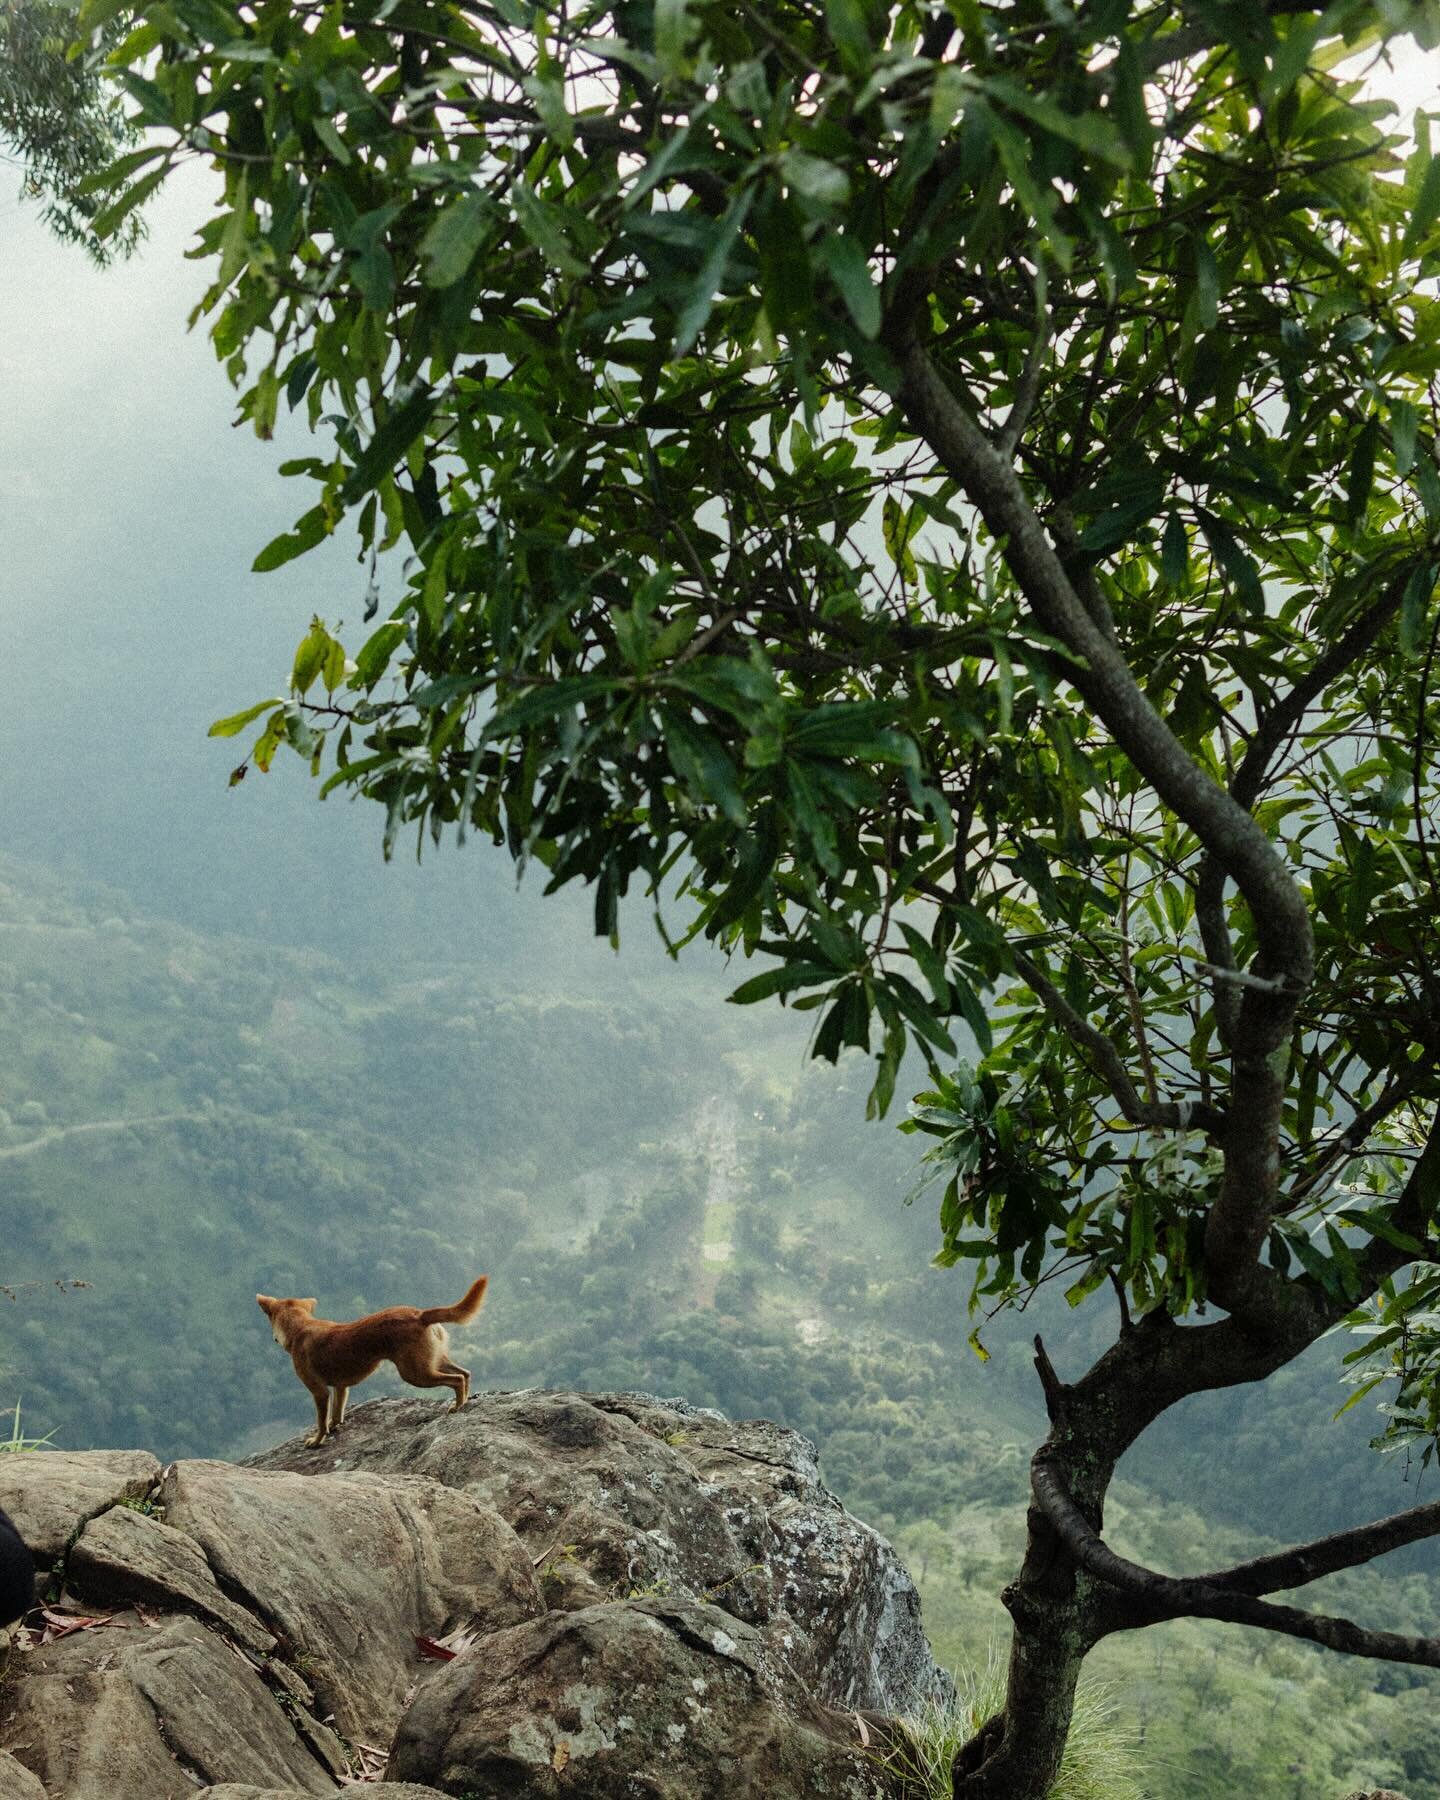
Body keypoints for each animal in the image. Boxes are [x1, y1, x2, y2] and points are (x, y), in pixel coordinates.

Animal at [255, 1281, 486, 1447]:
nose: (274, 1338)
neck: (300, 1328)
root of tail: (420, 1314)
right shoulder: (341, 1386)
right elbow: (336, 1412)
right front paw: (334, 1426)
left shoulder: (319, 1391)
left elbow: (321, 1421)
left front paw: (317, 1440)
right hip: (433, 1361)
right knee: (465, 1373)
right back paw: (465, 1400)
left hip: (415, 1372)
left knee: (456, 1379)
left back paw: (457, 1405)